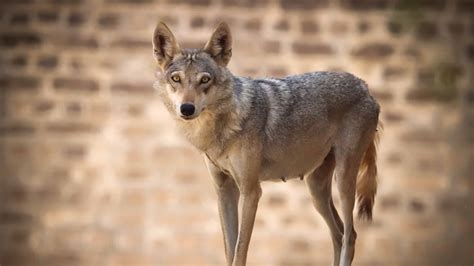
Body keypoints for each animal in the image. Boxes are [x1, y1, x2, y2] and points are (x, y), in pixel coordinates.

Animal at [152, 21, 382, 266]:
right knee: (338, 235)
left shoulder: (251, 191)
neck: (222, 127)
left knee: (350, 235)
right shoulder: (224, 191)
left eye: (205, 79)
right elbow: (229, 250)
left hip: (344, 181)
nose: (187, 108)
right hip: (316, 189)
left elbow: (239, 252)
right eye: (176, 79)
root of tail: (365, 87)